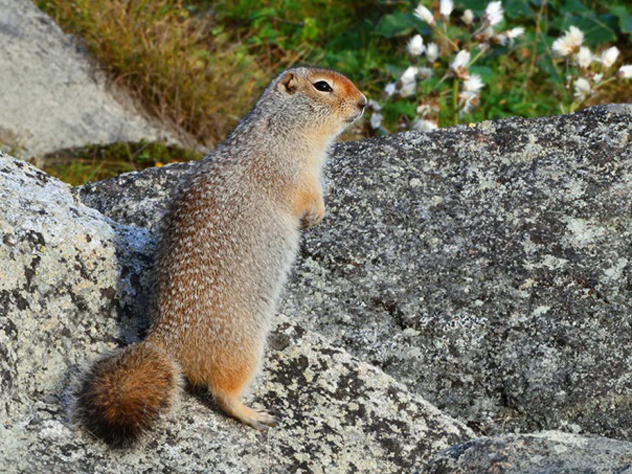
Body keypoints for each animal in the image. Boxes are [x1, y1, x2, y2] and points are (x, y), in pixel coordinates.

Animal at [75, 67, 366, 448]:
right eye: (323, 86)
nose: (364, 103)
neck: (283, 128)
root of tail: (165, 340)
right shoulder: (292, 170)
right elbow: (306, 194)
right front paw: (317, 214)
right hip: (244, 351)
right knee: (223, 392)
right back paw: (255, 415)